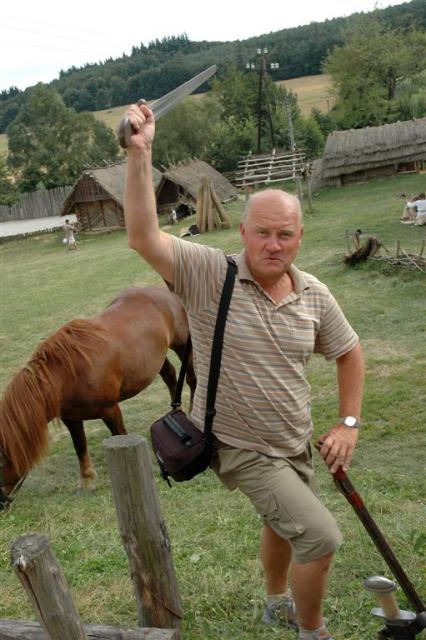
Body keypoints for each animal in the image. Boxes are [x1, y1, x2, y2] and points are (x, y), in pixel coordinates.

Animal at [0, 285, 196, 507]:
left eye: (0, 461)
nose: (1, 501)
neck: (67, 375)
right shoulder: (72, 419)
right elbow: (80, 447)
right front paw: (86, 483)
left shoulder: (110, 410)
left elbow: (121, 436)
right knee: (170, 375)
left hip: (183, 344)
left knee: (191, 378)